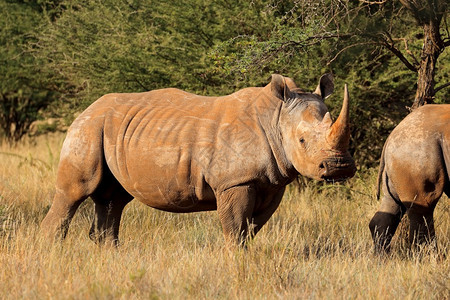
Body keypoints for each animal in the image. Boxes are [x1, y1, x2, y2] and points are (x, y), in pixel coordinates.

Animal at [41, 74, 356, 245]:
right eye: (301, 141)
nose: (338, 167)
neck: (275, 117)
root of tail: (86, 108)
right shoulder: (234, 182)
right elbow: (235, 231)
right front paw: (237, 266)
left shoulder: (272, 183)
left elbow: (251, 230)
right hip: (88, 128)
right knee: (73, 192)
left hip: (108, 130)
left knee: (113, 200)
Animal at [370, 104, 448, 252]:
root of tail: (392, 134)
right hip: (416, 148)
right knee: (424, 205)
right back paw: (429, 255)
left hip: (401, 151)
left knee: (393, 202)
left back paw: (381, 256)